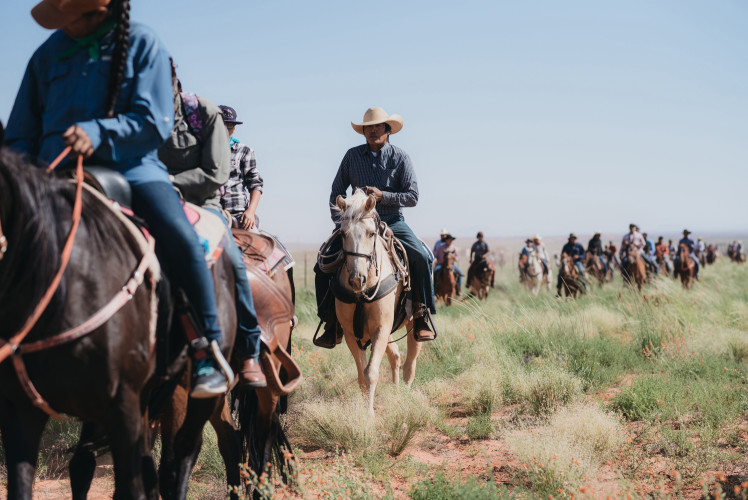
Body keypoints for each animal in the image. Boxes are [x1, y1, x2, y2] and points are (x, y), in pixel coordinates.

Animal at [332, 190, 424, 414]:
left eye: (371, 233)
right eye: (343, 234)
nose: (357, 279)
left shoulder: (381, 328)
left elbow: (371, 372)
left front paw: (369, 413)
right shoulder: (351, 334)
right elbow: (361, 375)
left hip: (414, 323)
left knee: (410, 363)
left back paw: (405, 397)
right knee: (396, 356)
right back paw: (397, 392)